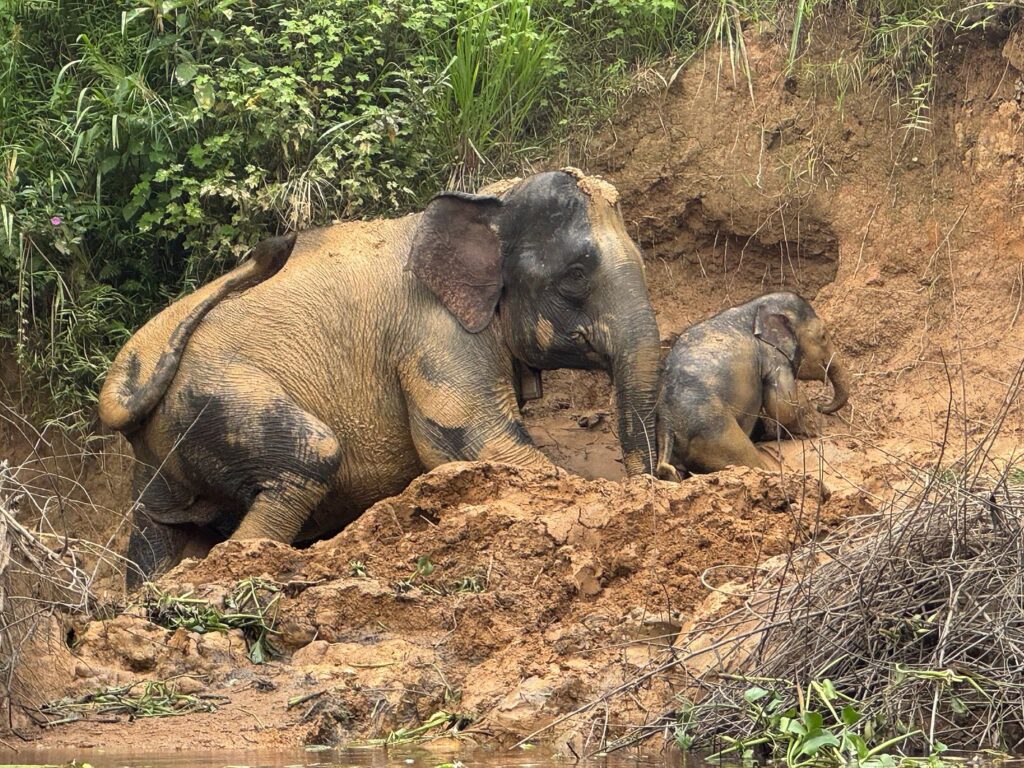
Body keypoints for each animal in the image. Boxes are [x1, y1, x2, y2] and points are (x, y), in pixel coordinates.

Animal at [98, 168, 662, 587]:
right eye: (575, 276)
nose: (661, 475)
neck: (489, 198)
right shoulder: (435, 333)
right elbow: (478, 445)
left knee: (159, 527)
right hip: (213, 396)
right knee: (311, 455)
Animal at [655, 291, 850, 480]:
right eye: (823, 336)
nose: (821, 405)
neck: (755, 306)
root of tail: (667, 426)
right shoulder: (773, 356)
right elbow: (782, 405)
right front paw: (811, 430)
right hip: (716, 434)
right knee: (748, 458)